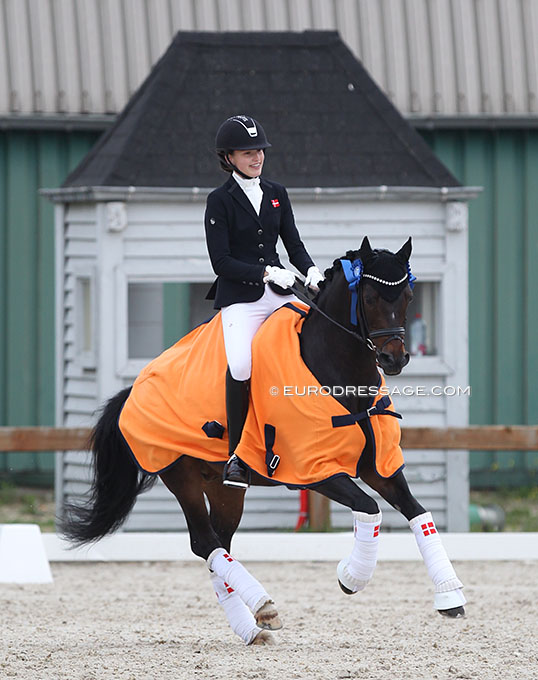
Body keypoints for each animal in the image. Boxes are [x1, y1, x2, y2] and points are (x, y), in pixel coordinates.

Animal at [61, 236, 466, 646]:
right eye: (368, 297)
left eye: (409, 296)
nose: (394, 358)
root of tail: (132, 390)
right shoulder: (316, 471)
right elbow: (369, 509)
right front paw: (351, 577)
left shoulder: (378, 465)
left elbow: (418, 513)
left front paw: (449, 596)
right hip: (180, 474)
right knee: (205, 542)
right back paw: (264, 607)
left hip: (223, 487)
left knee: (219, 543)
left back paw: (251, 628)